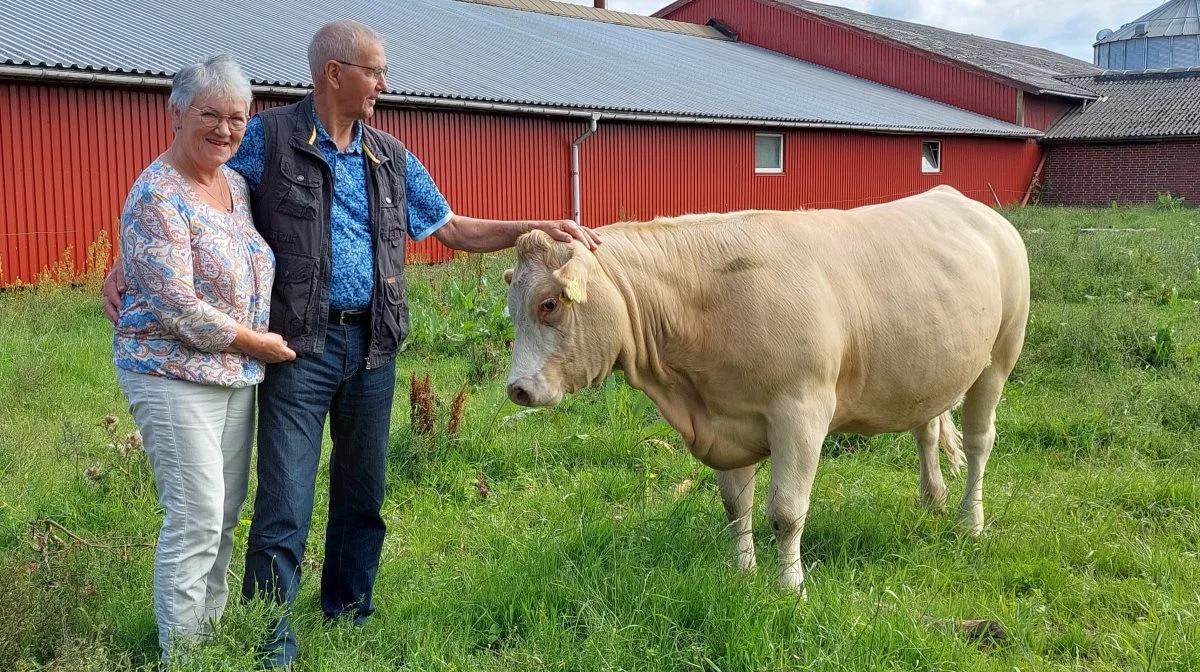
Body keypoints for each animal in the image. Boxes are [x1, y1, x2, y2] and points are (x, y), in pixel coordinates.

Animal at [504, 184, 1032, 592]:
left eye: (549, 303)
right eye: (512, 307)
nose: (517, 390)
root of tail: (963, 201)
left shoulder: (801, 413)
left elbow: (786, 512)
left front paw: (790, 587)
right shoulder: (723, 418)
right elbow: (735, 507)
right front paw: (742, 572)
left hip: (1000, 356)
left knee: (981, 442)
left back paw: (970, 521)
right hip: (927, 370)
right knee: (926, 429)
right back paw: (932, 500)